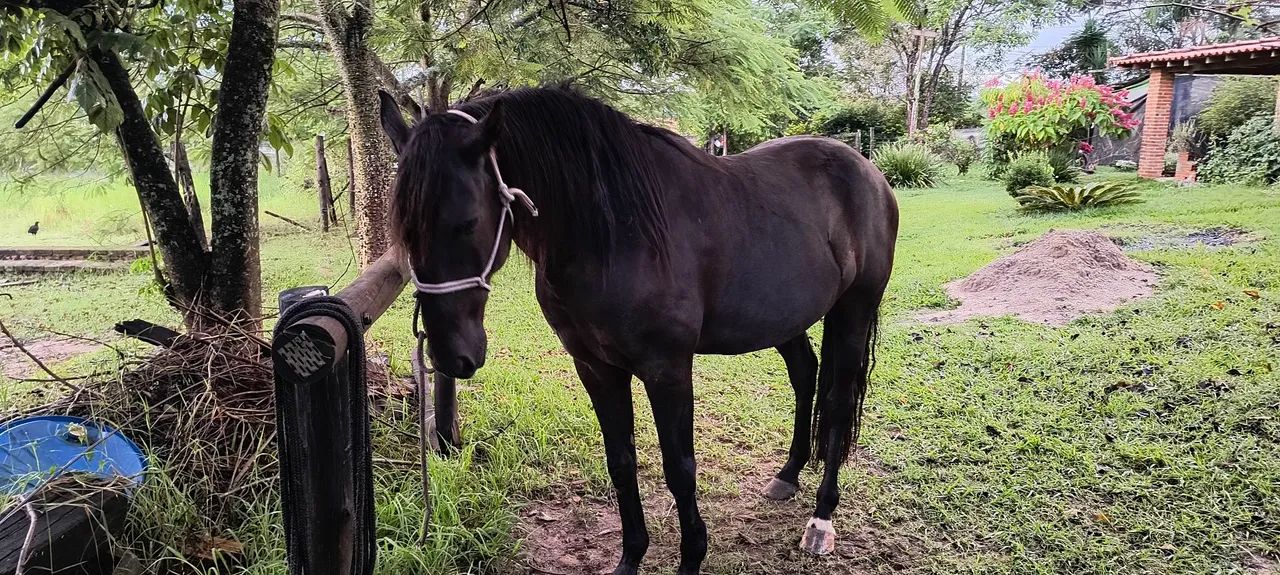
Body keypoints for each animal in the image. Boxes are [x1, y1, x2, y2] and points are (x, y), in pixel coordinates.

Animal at [378, 85, 898, 574]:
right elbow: (621, 462)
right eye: (403, 229)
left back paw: (821, 519)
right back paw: (788, 475)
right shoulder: (596, 367)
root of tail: (869, 172)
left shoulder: (667, 369)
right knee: (805, 376)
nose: (452, 356)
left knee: (838, 402)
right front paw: (631, 557)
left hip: (854, 310)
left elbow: (679, 467)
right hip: (785, 318)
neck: (613, 233)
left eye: (466, 223)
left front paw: (691, 558)